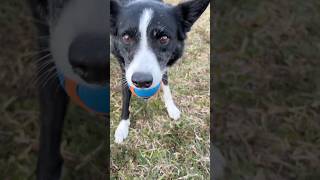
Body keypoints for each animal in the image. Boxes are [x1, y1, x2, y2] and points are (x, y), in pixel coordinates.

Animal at [110, 0, 210, 143]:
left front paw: (171, 107)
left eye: (163, 38)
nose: (141, 82)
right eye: (126, 37)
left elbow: (165, 84)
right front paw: (123, 126)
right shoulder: (124, 69)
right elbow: (126, 97)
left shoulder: (164, 66)